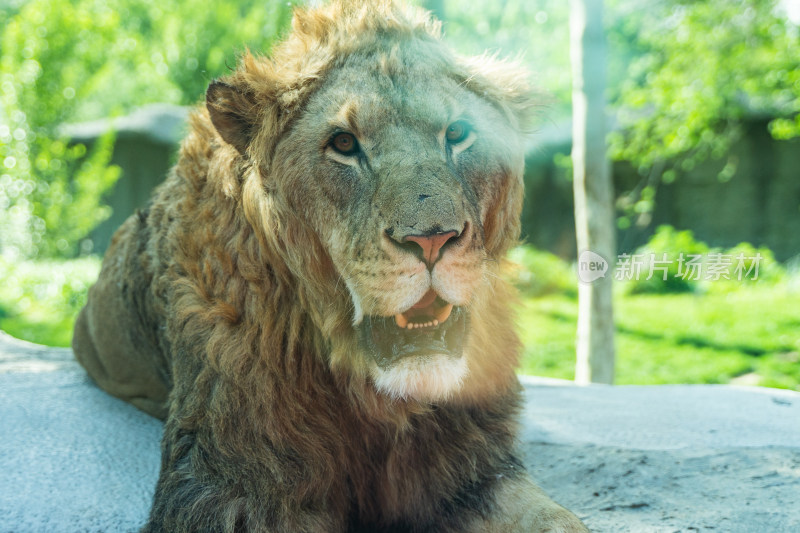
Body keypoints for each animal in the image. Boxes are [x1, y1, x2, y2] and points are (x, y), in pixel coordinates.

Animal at [73, 2, 588, 528]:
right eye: (343, 144)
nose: (431, 239)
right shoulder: (230, 486)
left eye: (459, 135)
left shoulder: (476, 466)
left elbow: (557, 519)